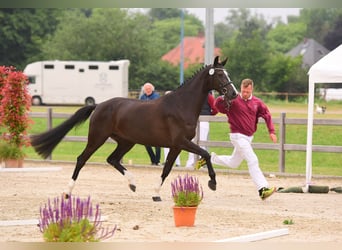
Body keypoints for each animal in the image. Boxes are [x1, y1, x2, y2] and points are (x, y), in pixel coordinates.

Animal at [30, 56, 238, 201]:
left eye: (227, 73)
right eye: (220, 74)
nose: (234, 94)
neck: (181, 105)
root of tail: (99, 105)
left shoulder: (176, 146)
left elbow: (167, 169)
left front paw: (156, 194)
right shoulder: (181, 142)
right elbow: (206, 154)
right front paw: (212, 182)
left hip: (126, 142)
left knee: (112, 159)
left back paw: (133, 183)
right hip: (98, 137)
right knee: (82, 159)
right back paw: (67, 192)